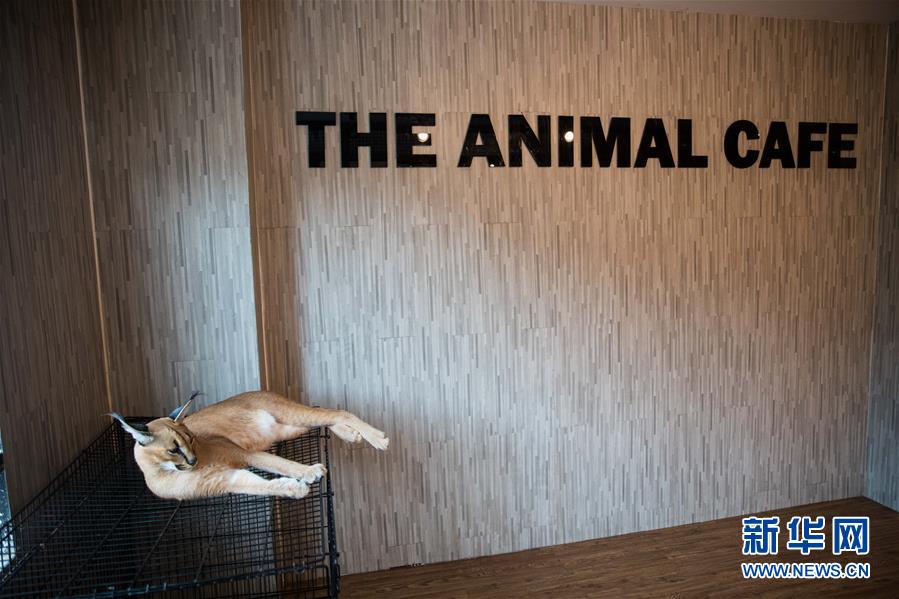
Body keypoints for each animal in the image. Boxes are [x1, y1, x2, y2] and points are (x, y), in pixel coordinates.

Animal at [109, 390, 388, 500]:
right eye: (173, 448)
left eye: (190, 438)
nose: (192, 460)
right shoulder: (224, 481)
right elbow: (258, 485)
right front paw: (295, 489)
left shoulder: (242, 453)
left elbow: (279, 463)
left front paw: (309, 472)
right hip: (285, 427)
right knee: (326, 417)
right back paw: (351, 435)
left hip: (288, 415)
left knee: (336, 411)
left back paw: (377, 438)